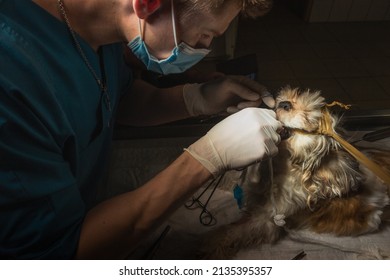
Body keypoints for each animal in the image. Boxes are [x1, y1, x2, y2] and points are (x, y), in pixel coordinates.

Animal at [201, 86, 390, 260]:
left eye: (308, 117)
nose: (284, 103)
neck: (282, 165)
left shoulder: (265, 219)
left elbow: (232, 232)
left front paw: (204, 244)